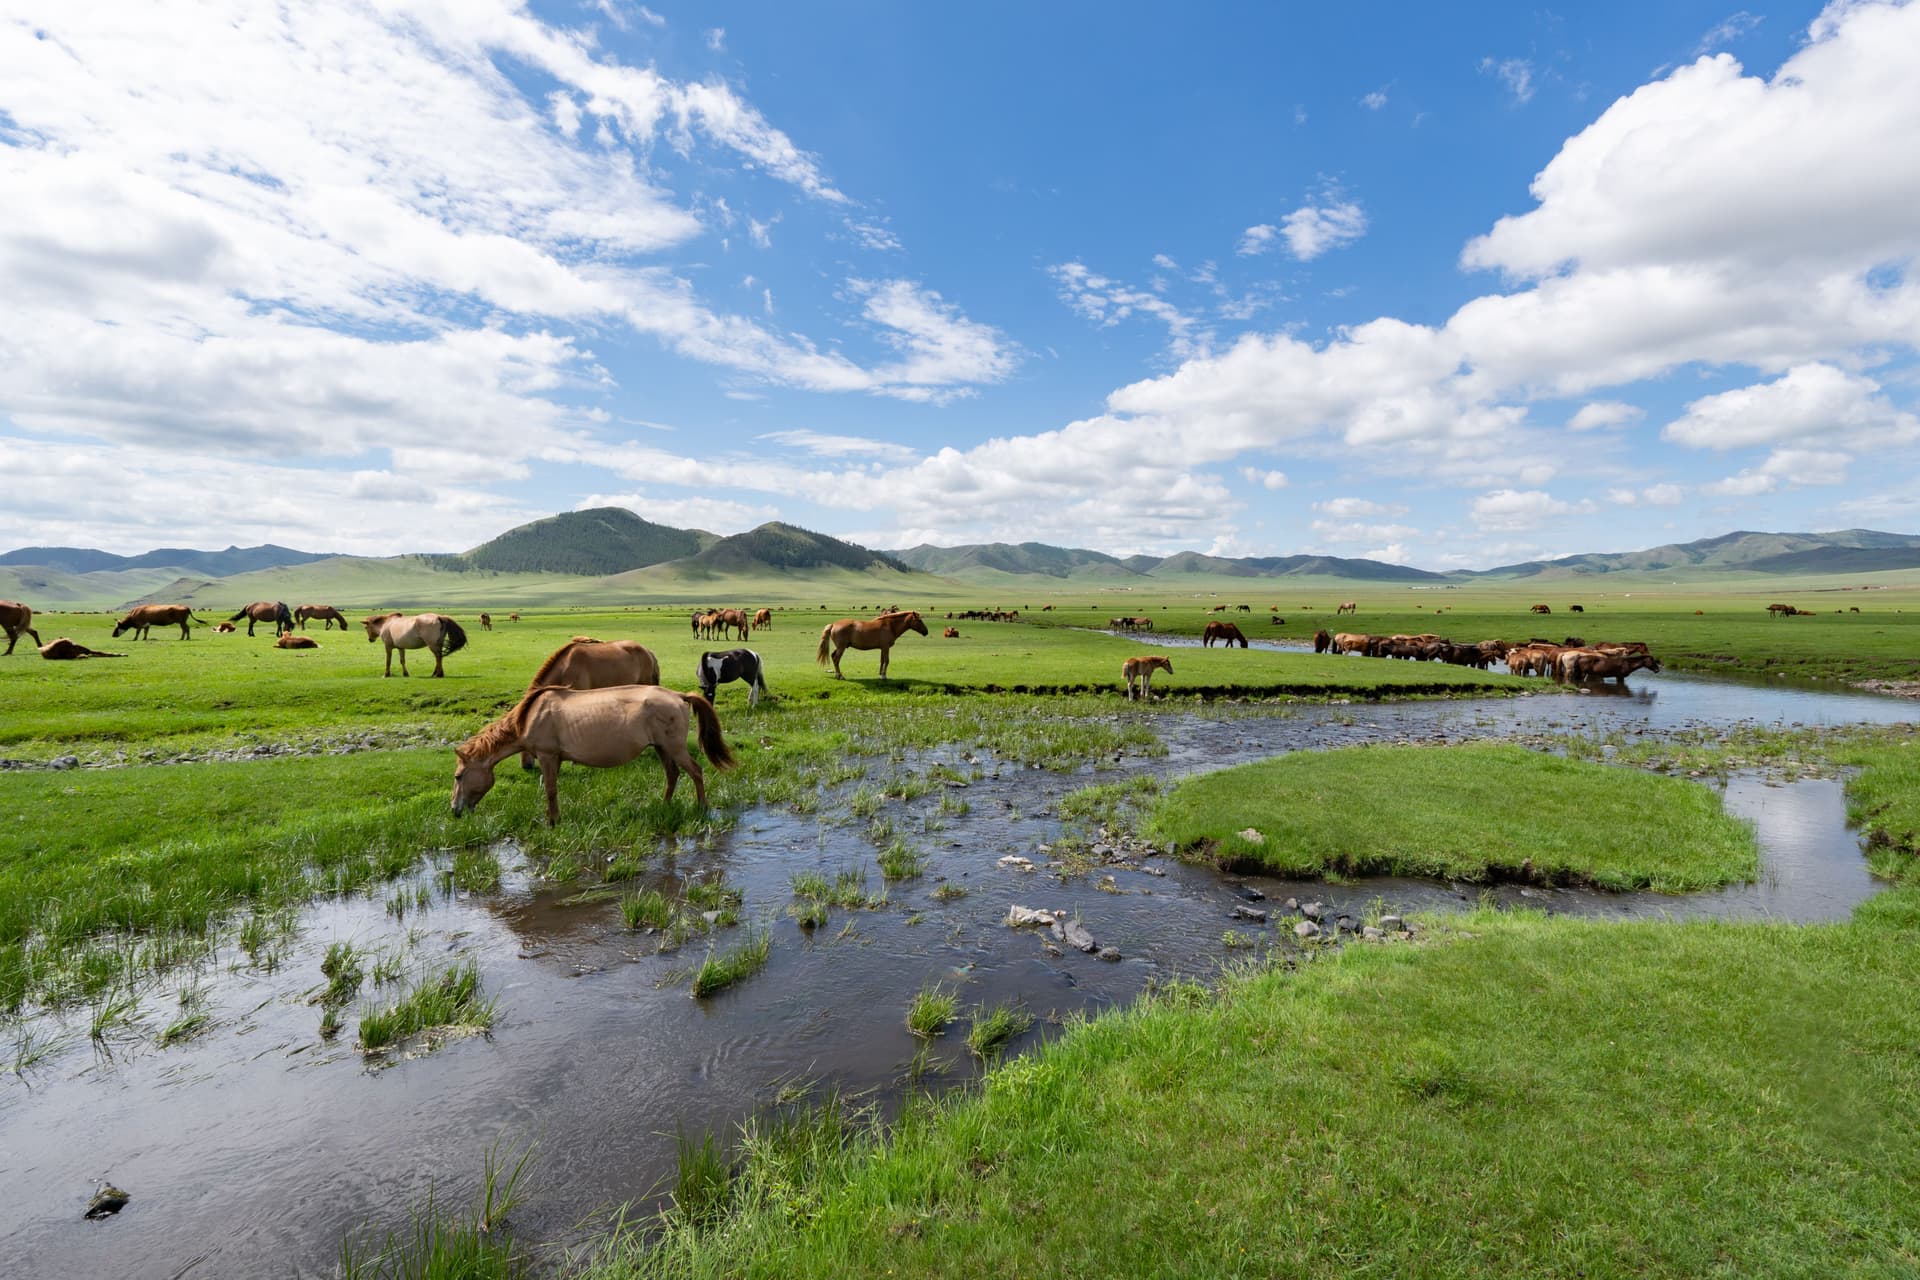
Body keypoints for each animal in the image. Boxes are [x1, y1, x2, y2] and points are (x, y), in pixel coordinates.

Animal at [452, 685, 735, 825]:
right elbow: (551, 790)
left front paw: (553, 820)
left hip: (674, 747)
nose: (455, 810)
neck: (529, 717)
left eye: (458, 776)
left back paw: (702, 807)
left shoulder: (547, 756)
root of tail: (678, 696)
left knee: (695, 771)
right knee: (673, 774)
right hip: (661, 747)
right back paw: (664, 805)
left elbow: (550, 790)